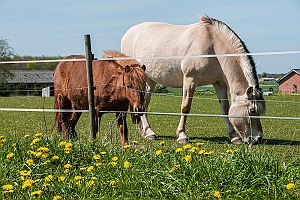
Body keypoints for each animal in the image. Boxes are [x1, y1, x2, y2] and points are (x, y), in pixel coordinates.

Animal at [120, 15, 266, 144]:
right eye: (252, 110)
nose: (257, 138)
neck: (213, 47)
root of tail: (128, 34)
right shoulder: (190, 80)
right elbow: (185, 107)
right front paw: (182, 136)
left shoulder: (219, 83)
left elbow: (225, 108)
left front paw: (234, 136)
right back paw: (149, 132)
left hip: (150, 81)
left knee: (144, 103)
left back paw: (146, 131)